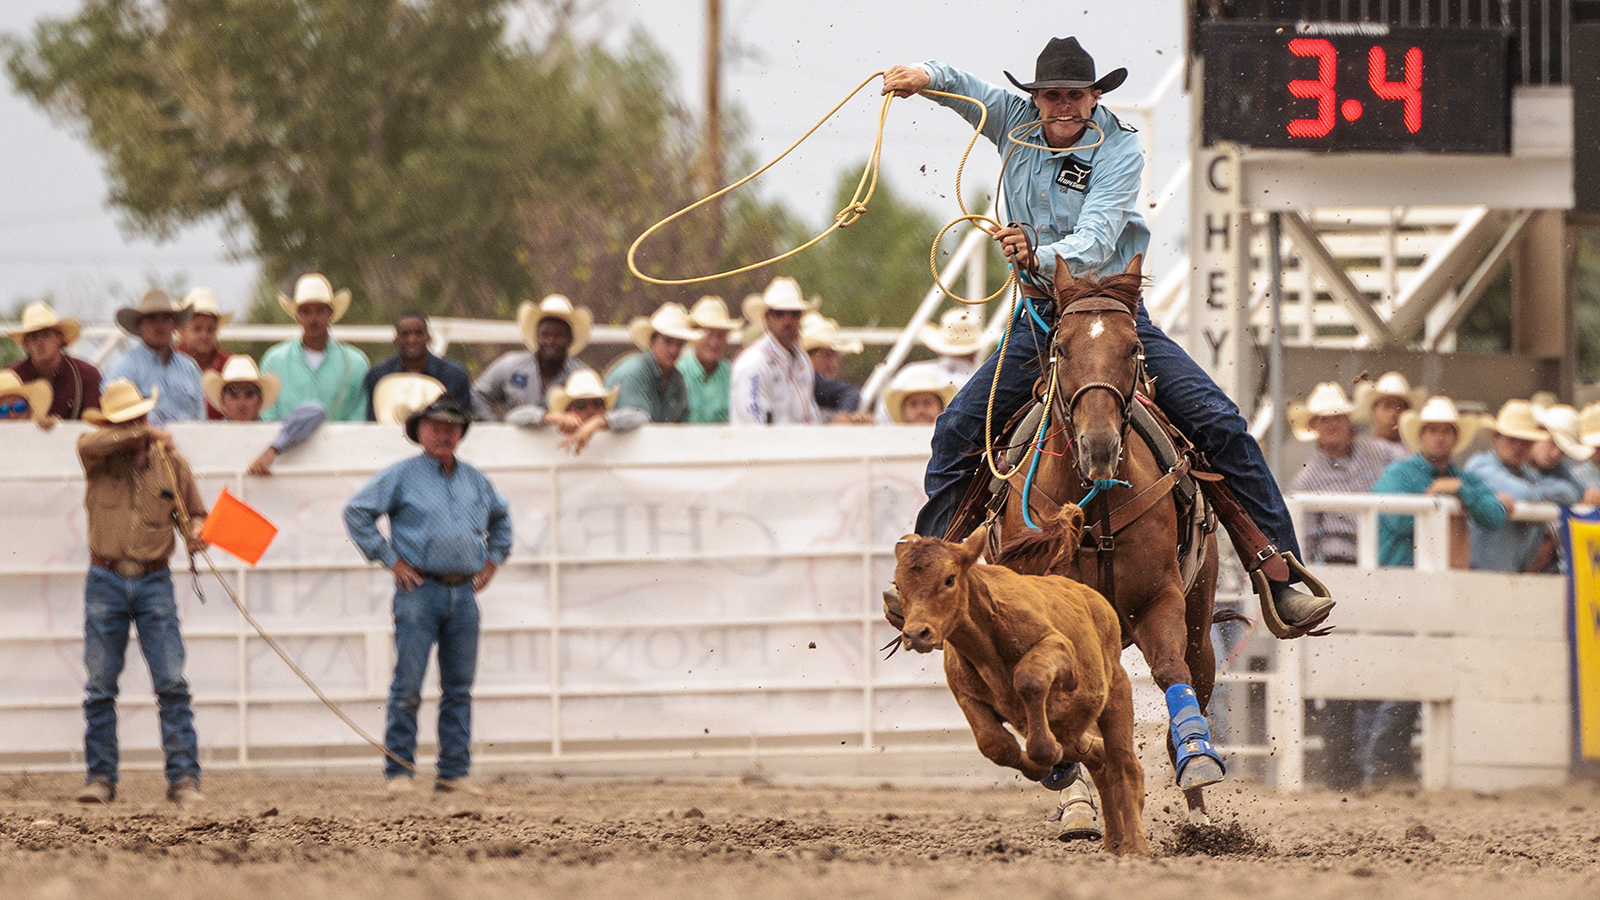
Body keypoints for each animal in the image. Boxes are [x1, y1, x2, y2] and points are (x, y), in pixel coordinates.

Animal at [896, 509, 1145, 851]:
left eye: (949, 579)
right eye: (898, 585)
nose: (915, 634)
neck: (985, 641)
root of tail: (1095, 600)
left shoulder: (1059, 650)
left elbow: (1029, 681)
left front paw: (1045, 753)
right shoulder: (964, 693)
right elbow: (995, 744)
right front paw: (1038, 766)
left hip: (1116, 692)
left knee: (1123, 766)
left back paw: (1135, 846)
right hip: (1078, 729)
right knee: (1099, 758)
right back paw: (1114, 842)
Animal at [992, 256, 1228, 826]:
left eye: (1133, 348)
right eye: (1060, 347)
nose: (1098, 446)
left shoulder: (1159, 599)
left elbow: (1169, 669)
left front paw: (1197, 758)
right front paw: (1068, 785)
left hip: (1199, 617)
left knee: (1194, 670)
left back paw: (1197, 815)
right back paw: (1077, 799)